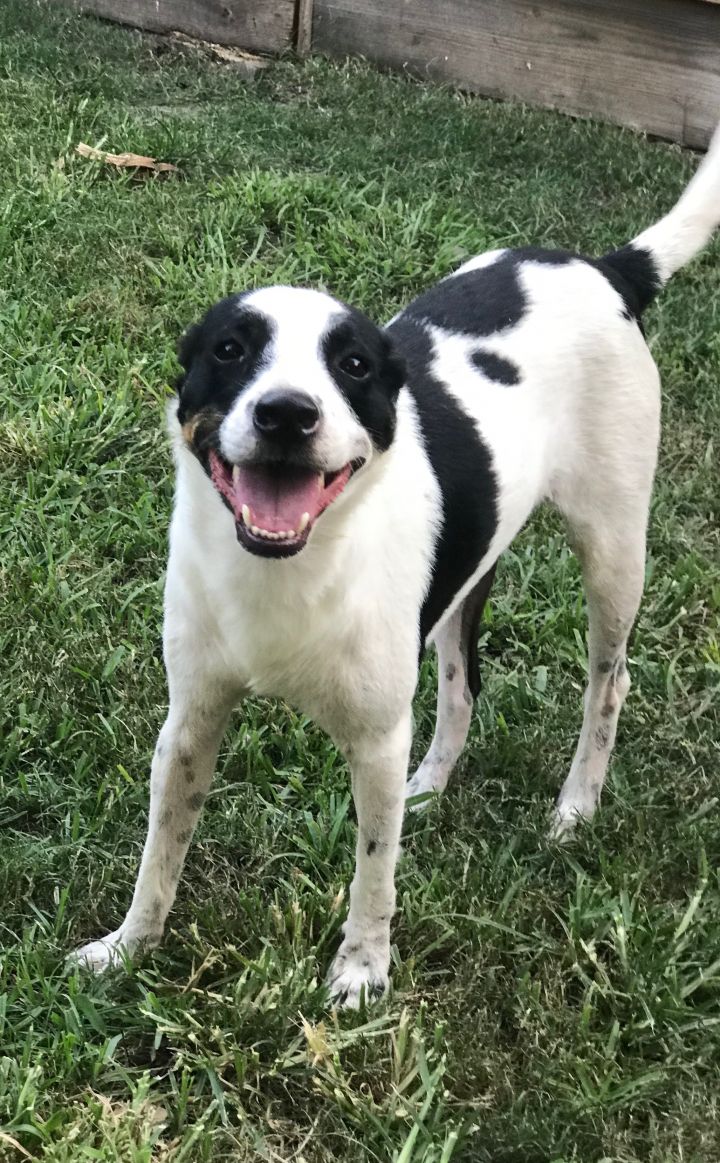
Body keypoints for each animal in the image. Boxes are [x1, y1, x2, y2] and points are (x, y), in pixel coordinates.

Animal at [70, 122, 720, 1004]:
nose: (286, 413)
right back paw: (434, 782)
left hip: (614, 547)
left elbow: (374, 868)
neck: (291, 567)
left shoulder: (375, 739)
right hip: (463, 579)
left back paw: (576, 805)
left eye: (353, 366)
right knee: (461, 683)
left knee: (609, 680)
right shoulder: (191, 720)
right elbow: (159, 853)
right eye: (230, 350)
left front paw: (362, 970)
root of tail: (607, 267)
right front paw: (129, 947)